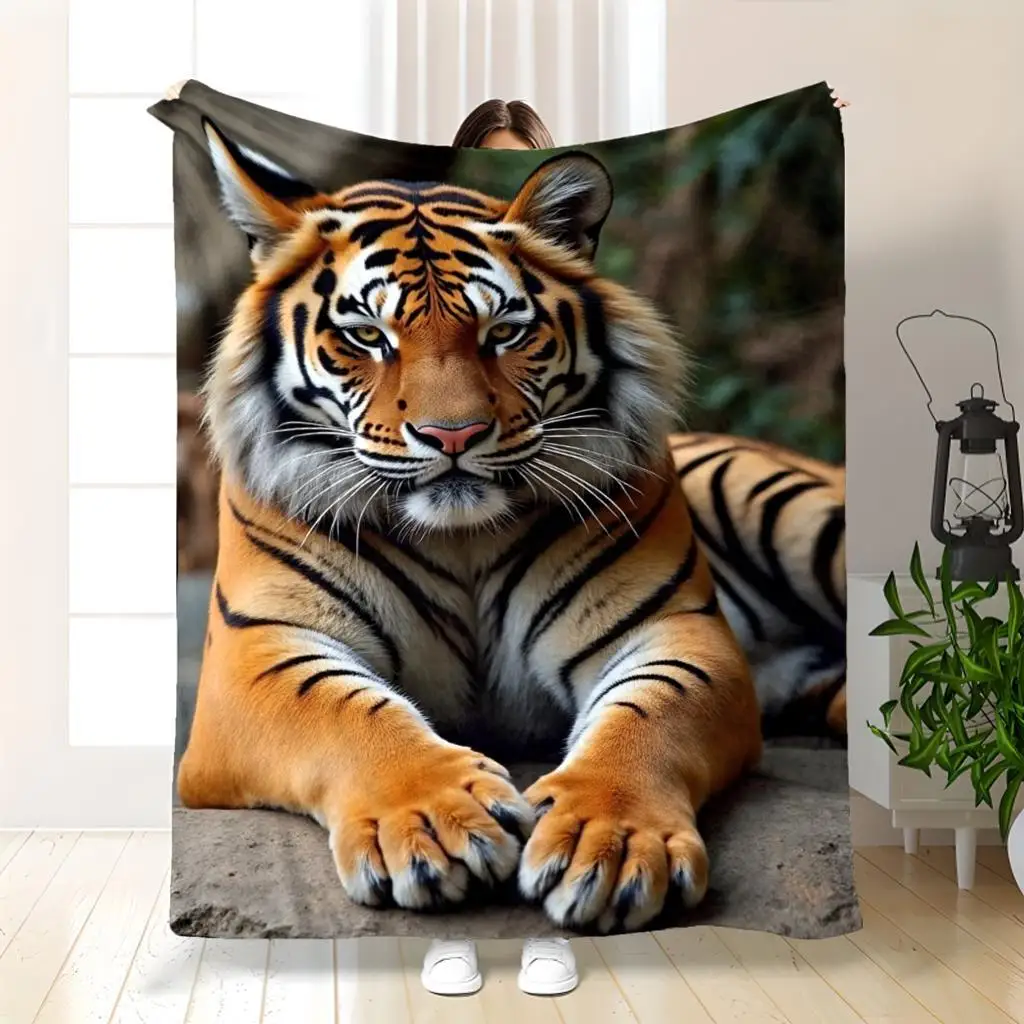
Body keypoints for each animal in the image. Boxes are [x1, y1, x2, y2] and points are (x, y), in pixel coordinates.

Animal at [181, 118, 769, 934]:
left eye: (503, 332)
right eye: (368, 336)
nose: (452, 435)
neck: (459, 537)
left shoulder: (677, 627)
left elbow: (648, 714)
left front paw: (611, 842)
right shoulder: (255, 650)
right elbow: (344, 711)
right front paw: (433, 823)